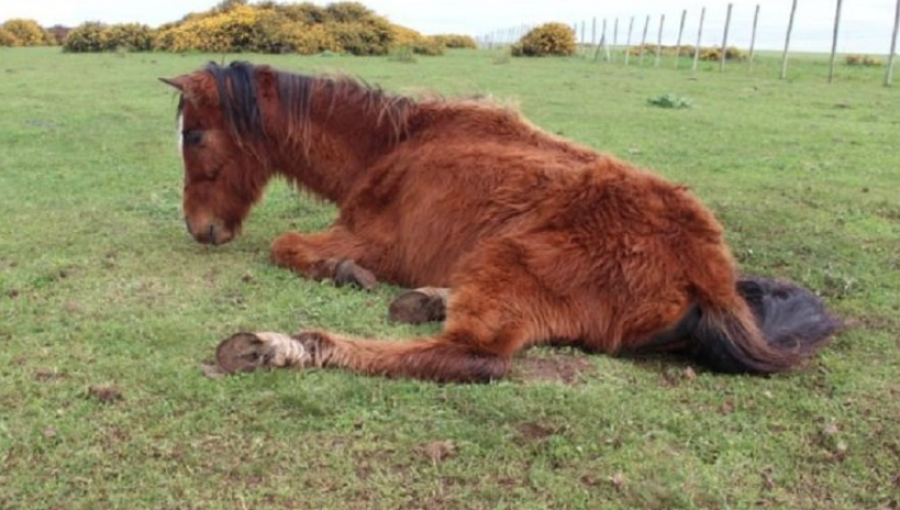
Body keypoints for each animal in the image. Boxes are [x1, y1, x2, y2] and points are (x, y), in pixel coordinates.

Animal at [158, 60, 840, 382]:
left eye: (194, 136)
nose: (200, 229)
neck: (393, 144)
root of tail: (710, 280)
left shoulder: (368, 237)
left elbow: (286, 246)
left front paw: (348, 274)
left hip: (507, 260)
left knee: (471, 357)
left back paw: (279, 346)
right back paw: (429, 297)